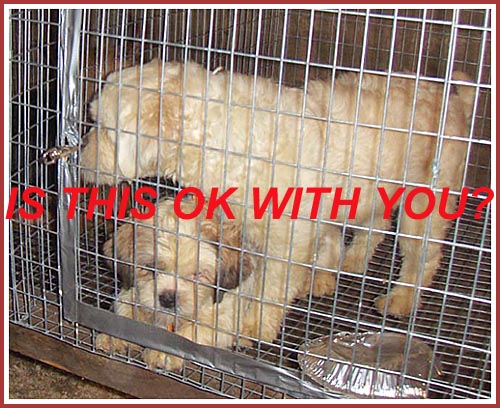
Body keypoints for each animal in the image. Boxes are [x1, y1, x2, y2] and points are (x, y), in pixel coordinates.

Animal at [81, 59, 472, 318]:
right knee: (374, 227)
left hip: (424, 204)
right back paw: (349, 263)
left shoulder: (287, 242)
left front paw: (255, 326)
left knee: (423, 256)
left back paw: (401, 300)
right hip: (370, 194)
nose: (81, 157)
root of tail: (453, 100)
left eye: (104, 128)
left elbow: (270, 290)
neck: (217, 136)